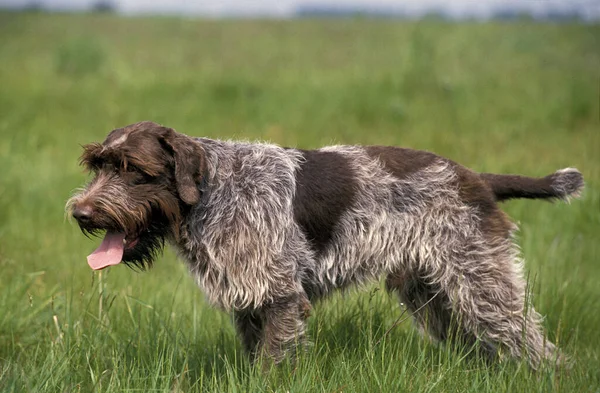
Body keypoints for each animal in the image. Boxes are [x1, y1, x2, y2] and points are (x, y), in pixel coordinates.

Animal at [67, 120, 584, 368]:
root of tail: (475, 178)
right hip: (432, 293)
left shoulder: (280, 298)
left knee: (535, 344)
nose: (81, 214)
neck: (214, 191)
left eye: (134, 170)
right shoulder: (251, 301)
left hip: (482, 284)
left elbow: (271, 363)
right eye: (98, 165)